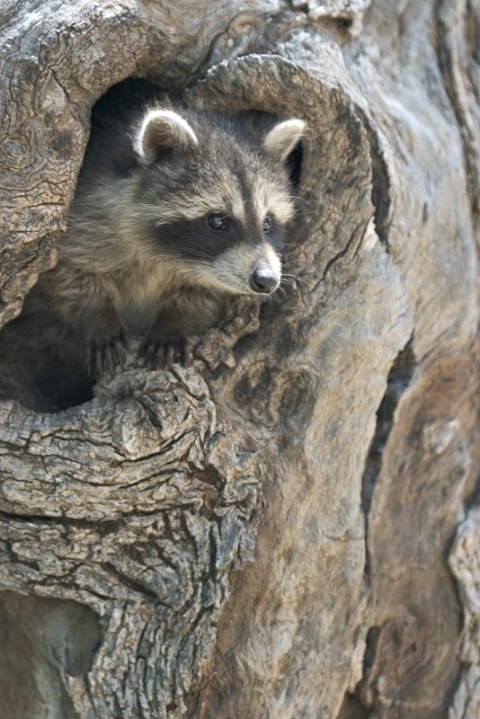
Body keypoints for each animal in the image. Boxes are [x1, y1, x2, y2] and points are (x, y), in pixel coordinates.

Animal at [23, 93, 304, 380]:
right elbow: (70, 273)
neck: (168, 257)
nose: (267, 280)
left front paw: (175, 322)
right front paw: (98, 318)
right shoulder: (86, 215)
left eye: (267, 222)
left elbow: (203, 294)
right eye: (217, 221)